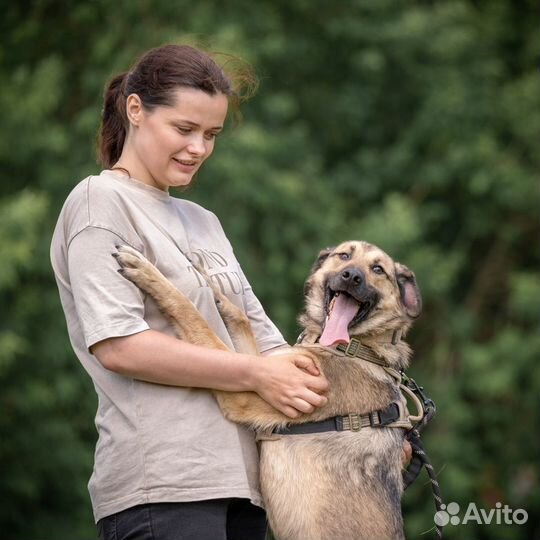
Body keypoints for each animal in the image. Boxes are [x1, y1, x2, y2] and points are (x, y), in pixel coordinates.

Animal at [116, 242, 424, 540]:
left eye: (378, 269)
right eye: (344, 256)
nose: (352, 276)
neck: (357, 348)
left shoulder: (245, 396)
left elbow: (194, 315)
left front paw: (148, 273)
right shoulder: (261, 370)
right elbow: (240, 318)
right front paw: (211, 286)